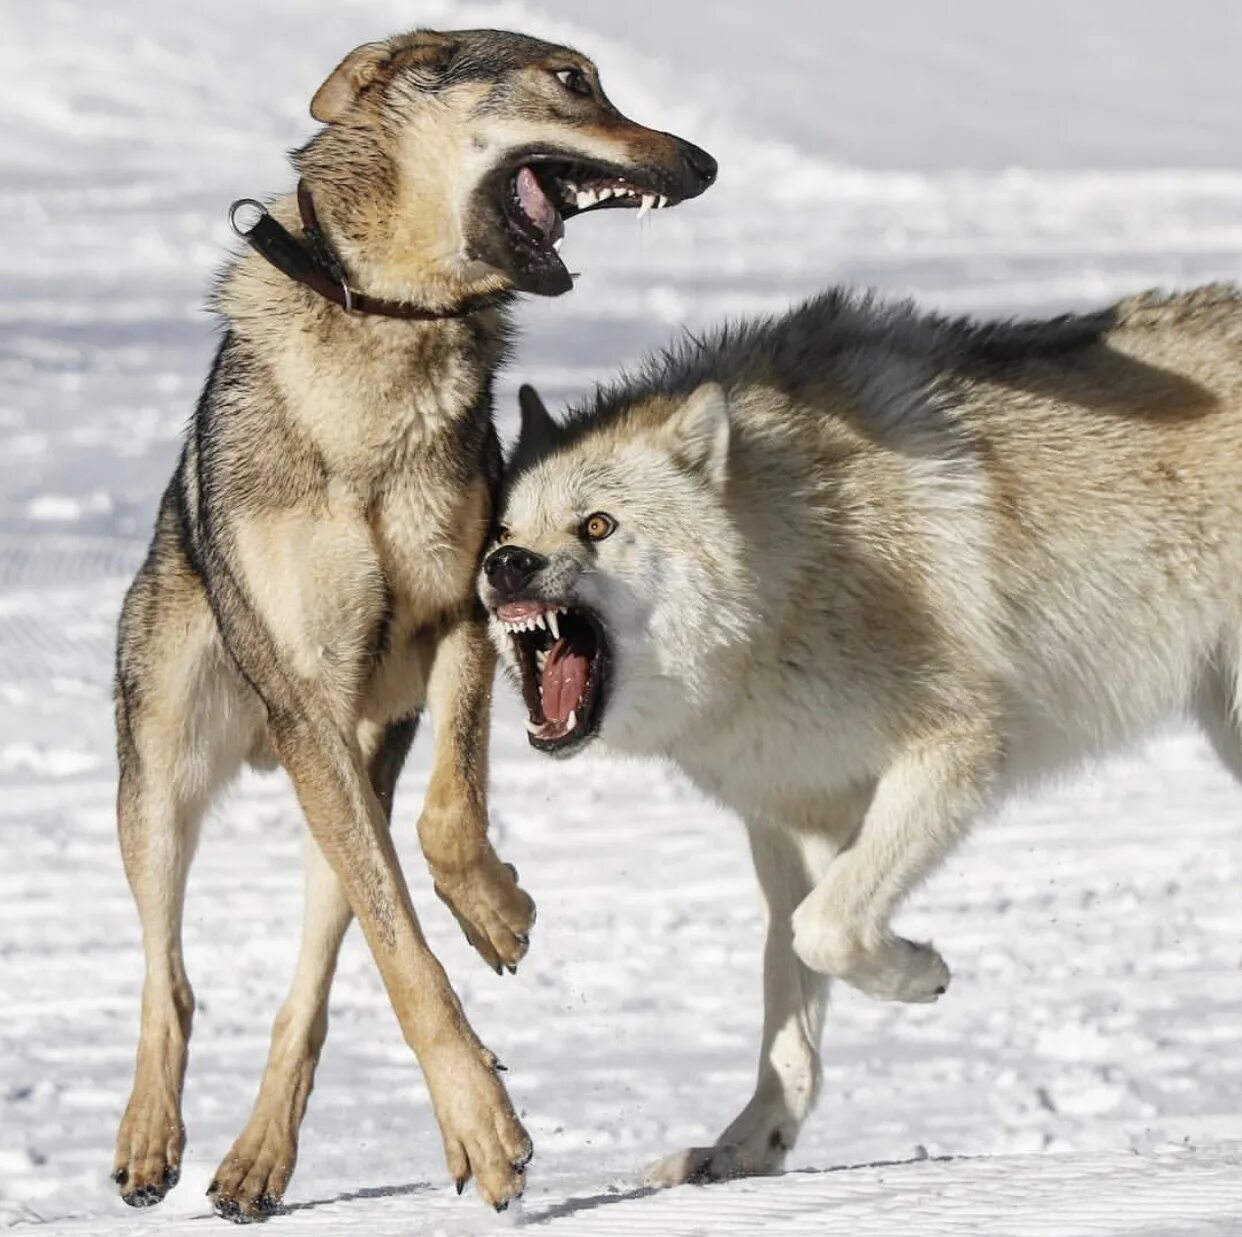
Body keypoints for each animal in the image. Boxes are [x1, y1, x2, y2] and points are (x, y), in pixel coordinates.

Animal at [114, 26, 720, 1217]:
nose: (704, 160)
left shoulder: (463, 618)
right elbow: (405, 957)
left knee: (310, 982)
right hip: (169, 775)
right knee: (173, 976)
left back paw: (257, 1160)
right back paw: (151, 1142)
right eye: (573, 80)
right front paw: (486, 1125)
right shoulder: (305, 695)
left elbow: (450, 821)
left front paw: (499, 913)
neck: (390, 324)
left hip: (343, 781)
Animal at [479, 285, 1242, 1182]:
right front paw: (743, 1149)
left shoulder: (956, 751)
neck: (794, 572)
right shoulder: (789, 815)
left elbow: (826, 931)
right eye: (504, 531)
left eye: (597, 526)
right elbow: (788, 1003)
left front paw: (923, 973)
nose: (507, 568)